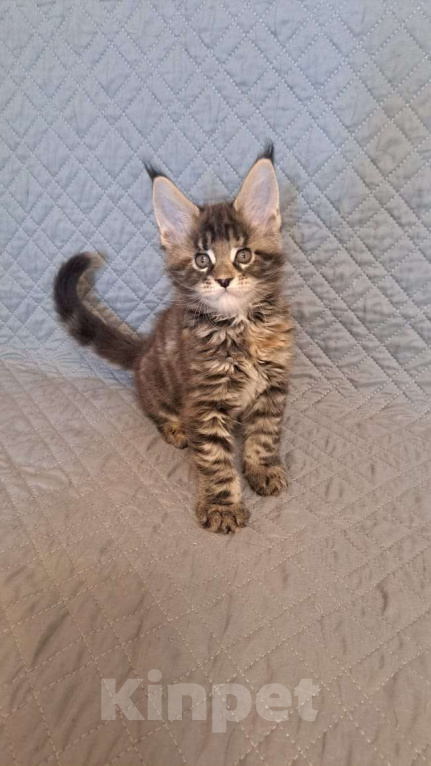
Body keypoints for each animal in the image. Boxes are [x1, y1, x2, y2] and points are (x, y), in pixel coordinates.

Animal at [54, 143, 294, 533]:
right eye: (202, 260)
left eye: (243, 255)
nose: (224, 279)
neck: (239, 326)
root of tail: (144, 348)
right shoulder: (204, 400)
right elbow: (215, 458)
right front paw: (222, 504)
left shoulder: (272, 385)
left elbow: (264, 433)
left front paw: (262, 468)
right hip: (157, 381)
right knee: (153, 407)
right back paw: (177, 428)